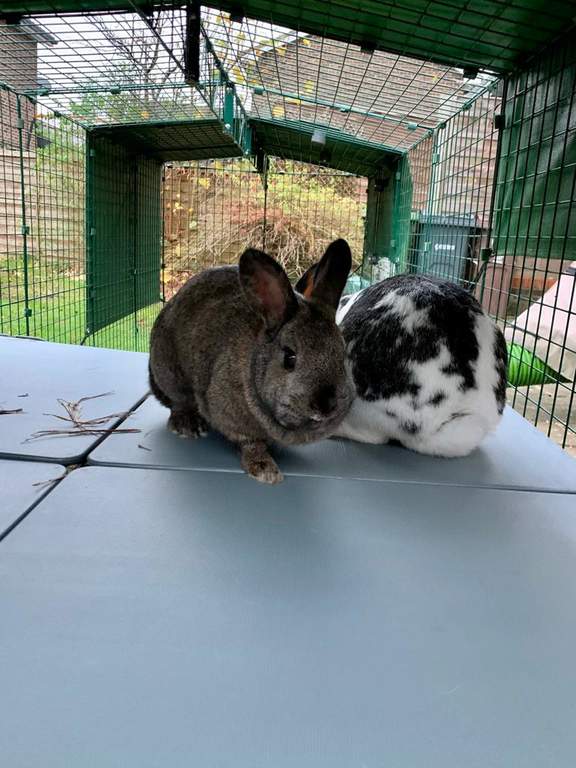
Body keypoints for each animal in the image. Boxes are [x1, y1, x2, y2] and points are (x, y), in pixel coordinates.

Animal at [149, 239, 354, 484]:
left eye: (342, 355)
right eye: (289, 358)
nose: (326, 405)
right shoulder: (230, 416)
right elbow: (250, 443)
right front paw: (265, 471)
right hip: (170, 374)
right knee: (178, 402)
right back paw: (188, 426)